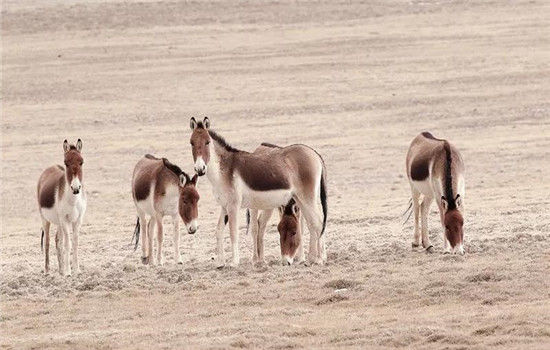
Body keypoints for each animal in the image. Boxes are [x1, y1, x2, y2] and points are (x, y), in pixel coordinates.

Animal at [37, 139, 87, 276]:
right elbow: (67, 244)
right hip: (45, 219)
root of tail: (50, 167)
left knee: (57, 241)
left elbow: (75, 243)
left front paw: (76, 270)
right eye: (66, 163)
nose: (76, 188)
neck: (73, 201)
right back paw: (47, 271)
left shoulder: (78, 220)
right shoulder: (65, 220)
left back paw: (61, 271)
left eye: (81, 162)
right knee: (47, 242)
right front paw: (69, 272)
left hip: (58, 222)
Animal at [190, 116, 328, 266]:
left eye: (207, 142)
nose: (200, 169)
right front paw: (220, 262)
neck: (224, 170)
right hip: (300, 199)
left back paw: (319, 259)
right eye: (191, 143)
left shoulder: (233, 206)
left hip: (307, 198)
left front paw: (234, 262)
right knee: (312, 223)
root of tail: (314, 153)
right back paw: (311, 259)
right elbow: (219, 230)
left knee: (318, 222)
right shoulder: (224, 206)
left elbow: (233, 233)